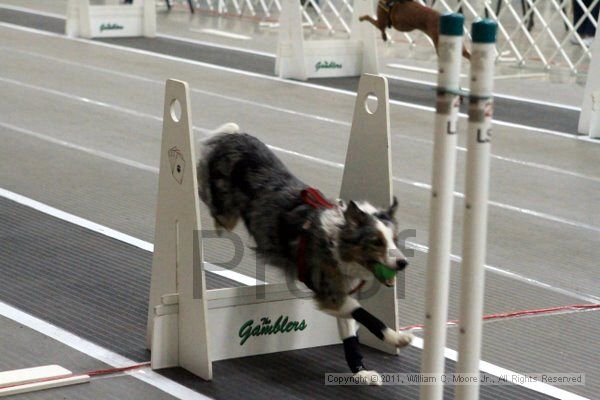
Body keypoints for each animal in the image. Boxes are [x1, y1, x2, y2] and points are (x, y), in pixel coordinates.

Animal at [199, 123, 414, 382]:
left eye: (394, 240)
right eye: (377, 242)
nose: (403, 263)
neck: (337, 242)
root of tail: (232, 137)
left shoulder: (340, 290)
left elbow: (349, 328)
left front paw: (360, 370)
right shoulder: (328, 290)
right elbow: (364, 314)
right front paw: (398, 337)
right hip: (225, 209)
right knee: (215, 208)